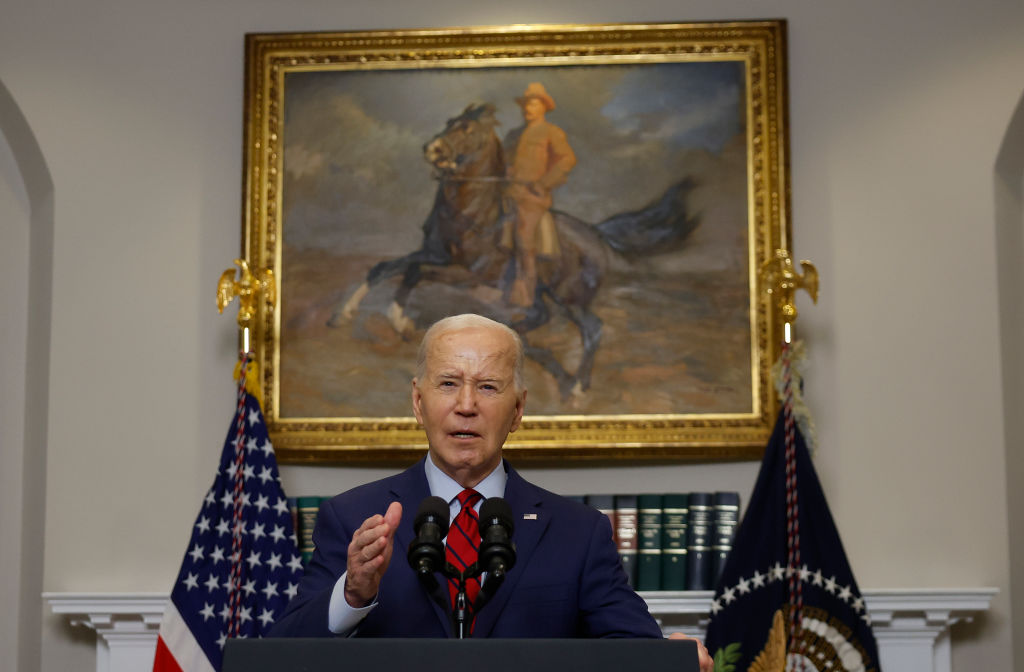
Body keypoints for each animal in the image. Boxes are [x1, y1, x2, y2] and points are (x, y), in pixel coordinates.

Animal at [331, 102, 700, 401]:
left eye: (467, 129)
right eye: (450, 121)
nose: (431, 148)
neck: (472, 213)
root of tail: (595, 232)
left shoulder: (465, 273)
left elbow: (413, 271)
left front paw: (394, 318)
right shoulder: (433, 252)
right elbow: (392, 268)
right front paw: (357, 315)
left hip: (571, 298)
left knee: (592, 328)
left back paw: (577, 386)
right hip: (539, 291)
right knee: (540, 316)